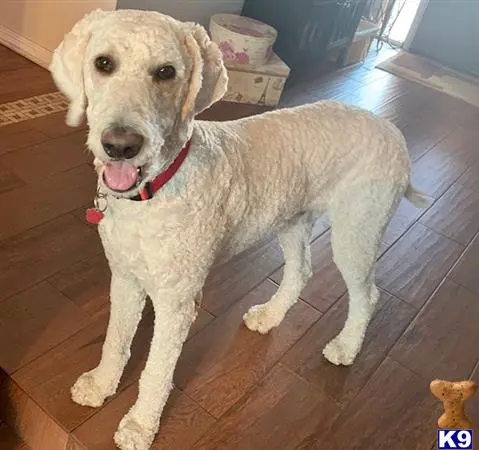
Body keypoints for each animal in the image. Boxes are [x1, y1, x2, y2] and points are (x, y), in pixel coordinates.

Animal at [50, 7, 430, 450]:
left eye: (166, 72)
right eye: (103, 63)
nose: (121, 145)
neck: (156, 189)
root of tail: (393, 133)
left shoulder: (178, 302)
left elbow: (157, 370)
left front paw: (140, 425)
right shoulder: (125, 279)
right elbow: (116, 340)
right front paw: (101, 385)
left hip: (357, 230)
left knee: (367, 295)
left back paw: (346, 348)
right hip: (292, 220)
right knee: (301, 272)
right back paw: (270, 316)